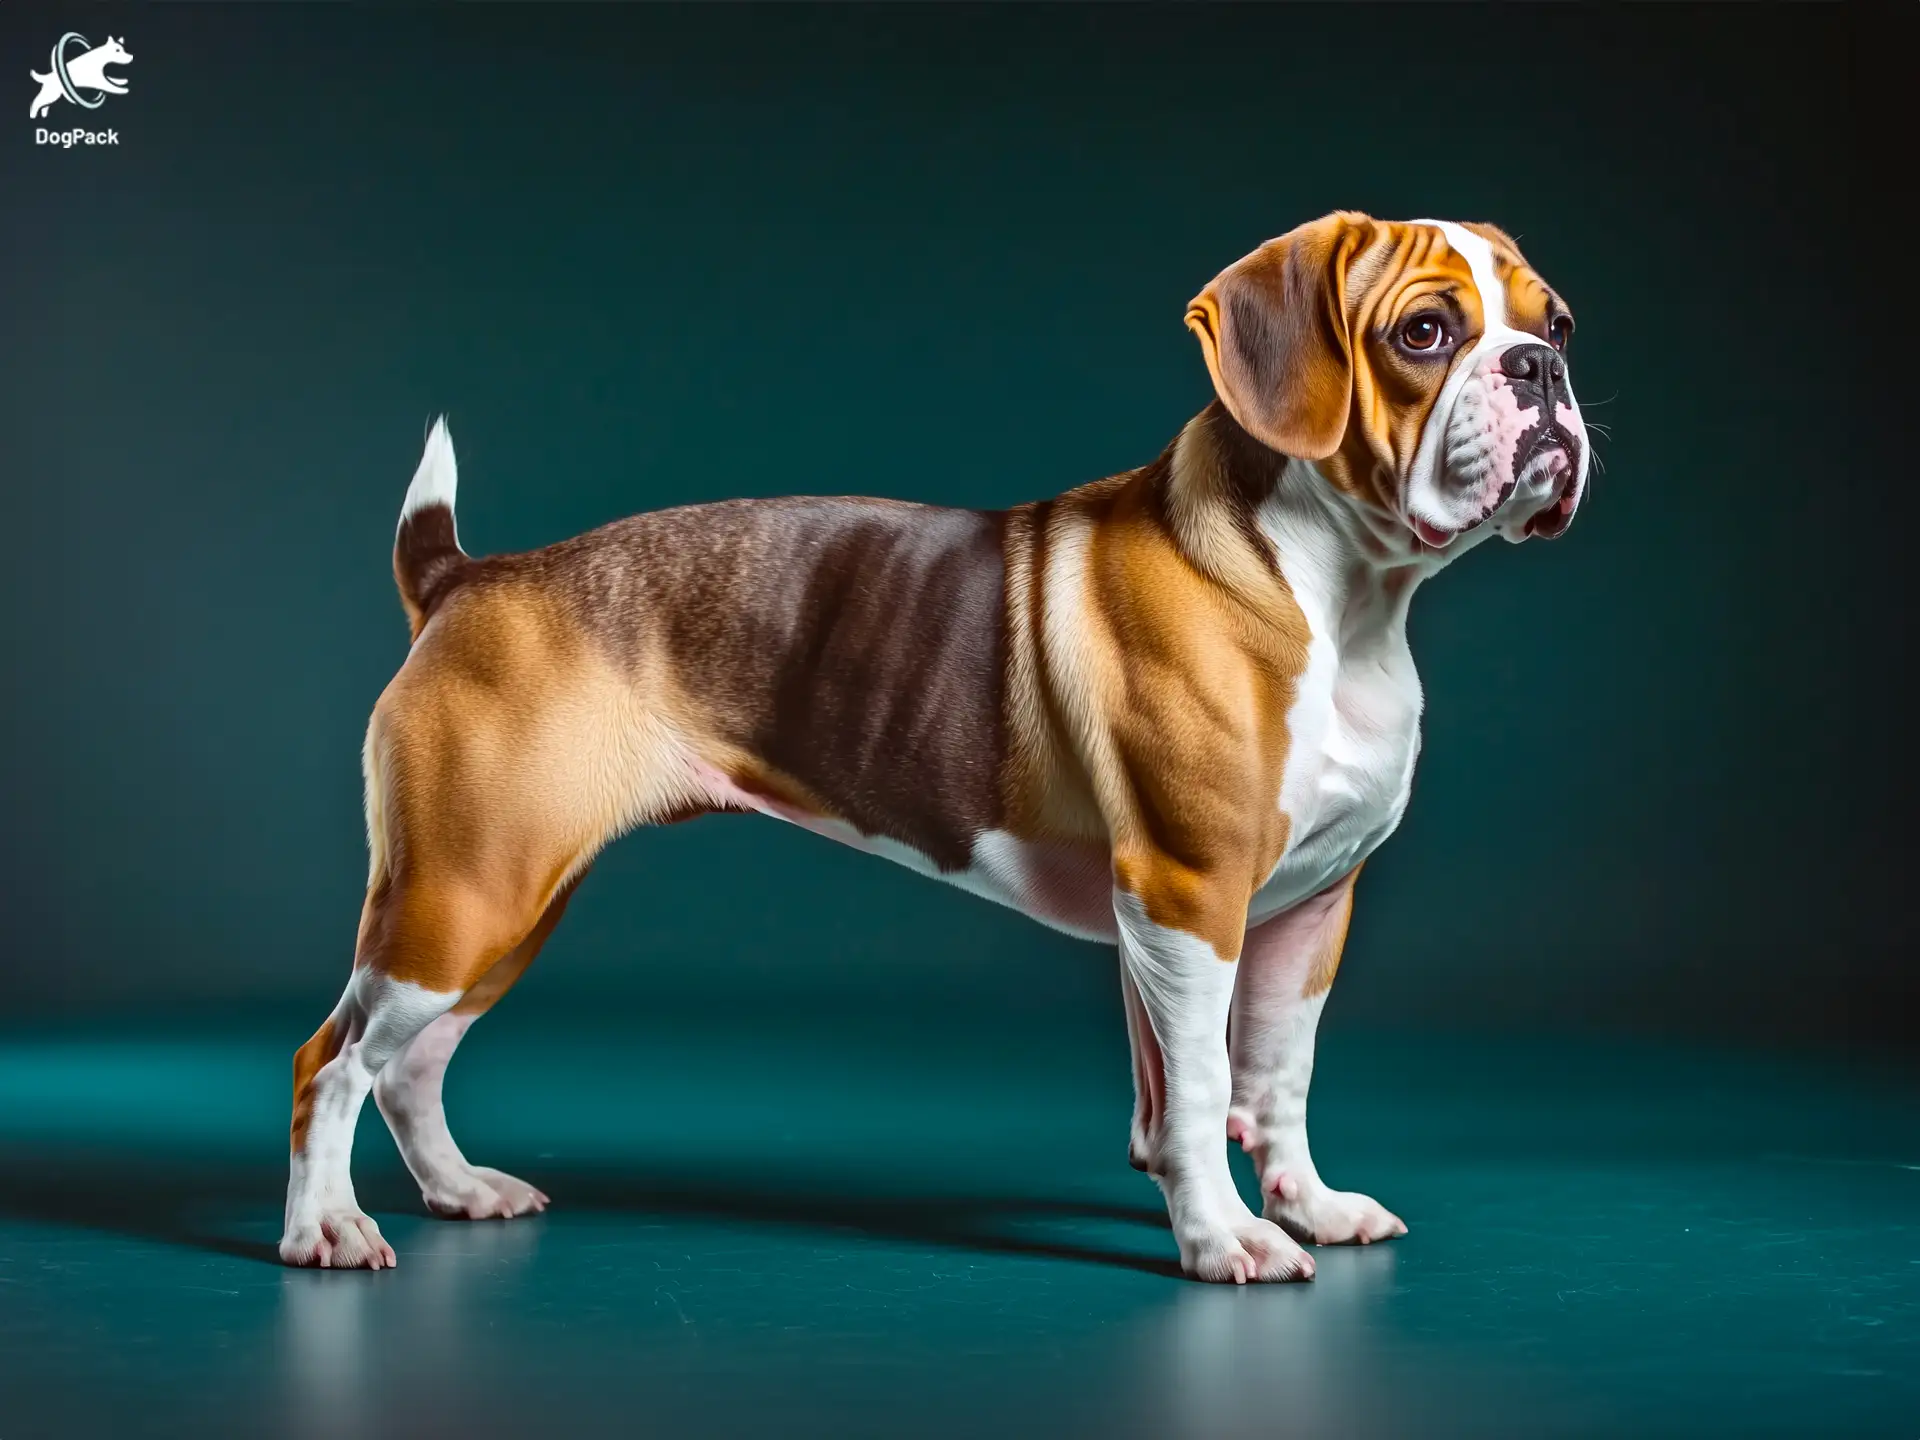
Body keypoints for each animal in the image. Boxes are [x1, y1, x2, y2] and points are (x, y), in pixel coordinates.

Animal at [280, 211, 1589, 1282]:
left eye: (1557, 323)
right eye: (1425, 333)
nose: (1542, 369)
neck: (1342, 591)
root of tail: (467, 578)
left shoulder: (1303, 913)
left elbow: (1270, 1078)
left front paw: (1301, 1205)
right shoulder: (1190, 897)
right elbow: (1205, 1083)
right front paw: (1226, 1240)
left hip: (500, 908)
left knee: (410, 1064)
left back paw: (458, 1191)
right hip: (458, 899)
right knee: (332, 1064)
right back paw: (326, 1229)